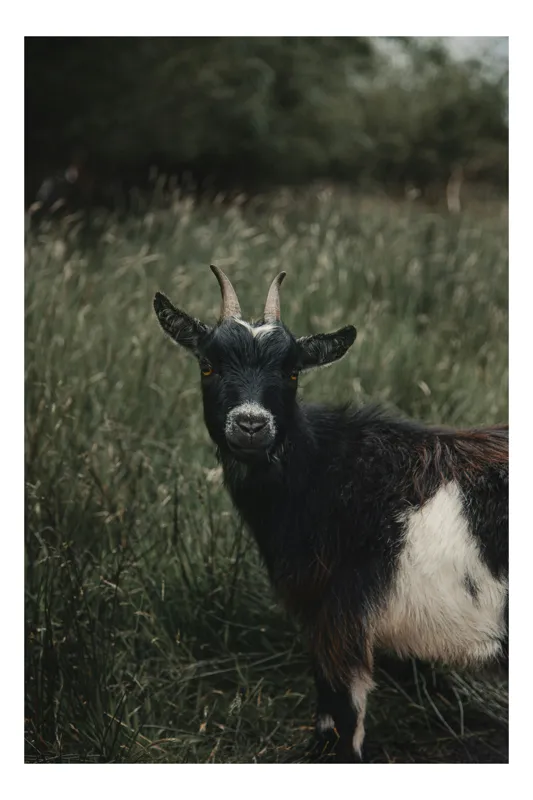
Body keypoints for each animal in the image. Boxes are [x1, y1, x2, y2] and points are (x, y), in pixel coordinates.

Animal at [153, 266, 508, 762]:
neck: (328, 472)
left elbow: (342, 718)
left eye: (292, 371)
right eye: (208, 365)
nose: (250, 424)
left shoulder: (341, 619)